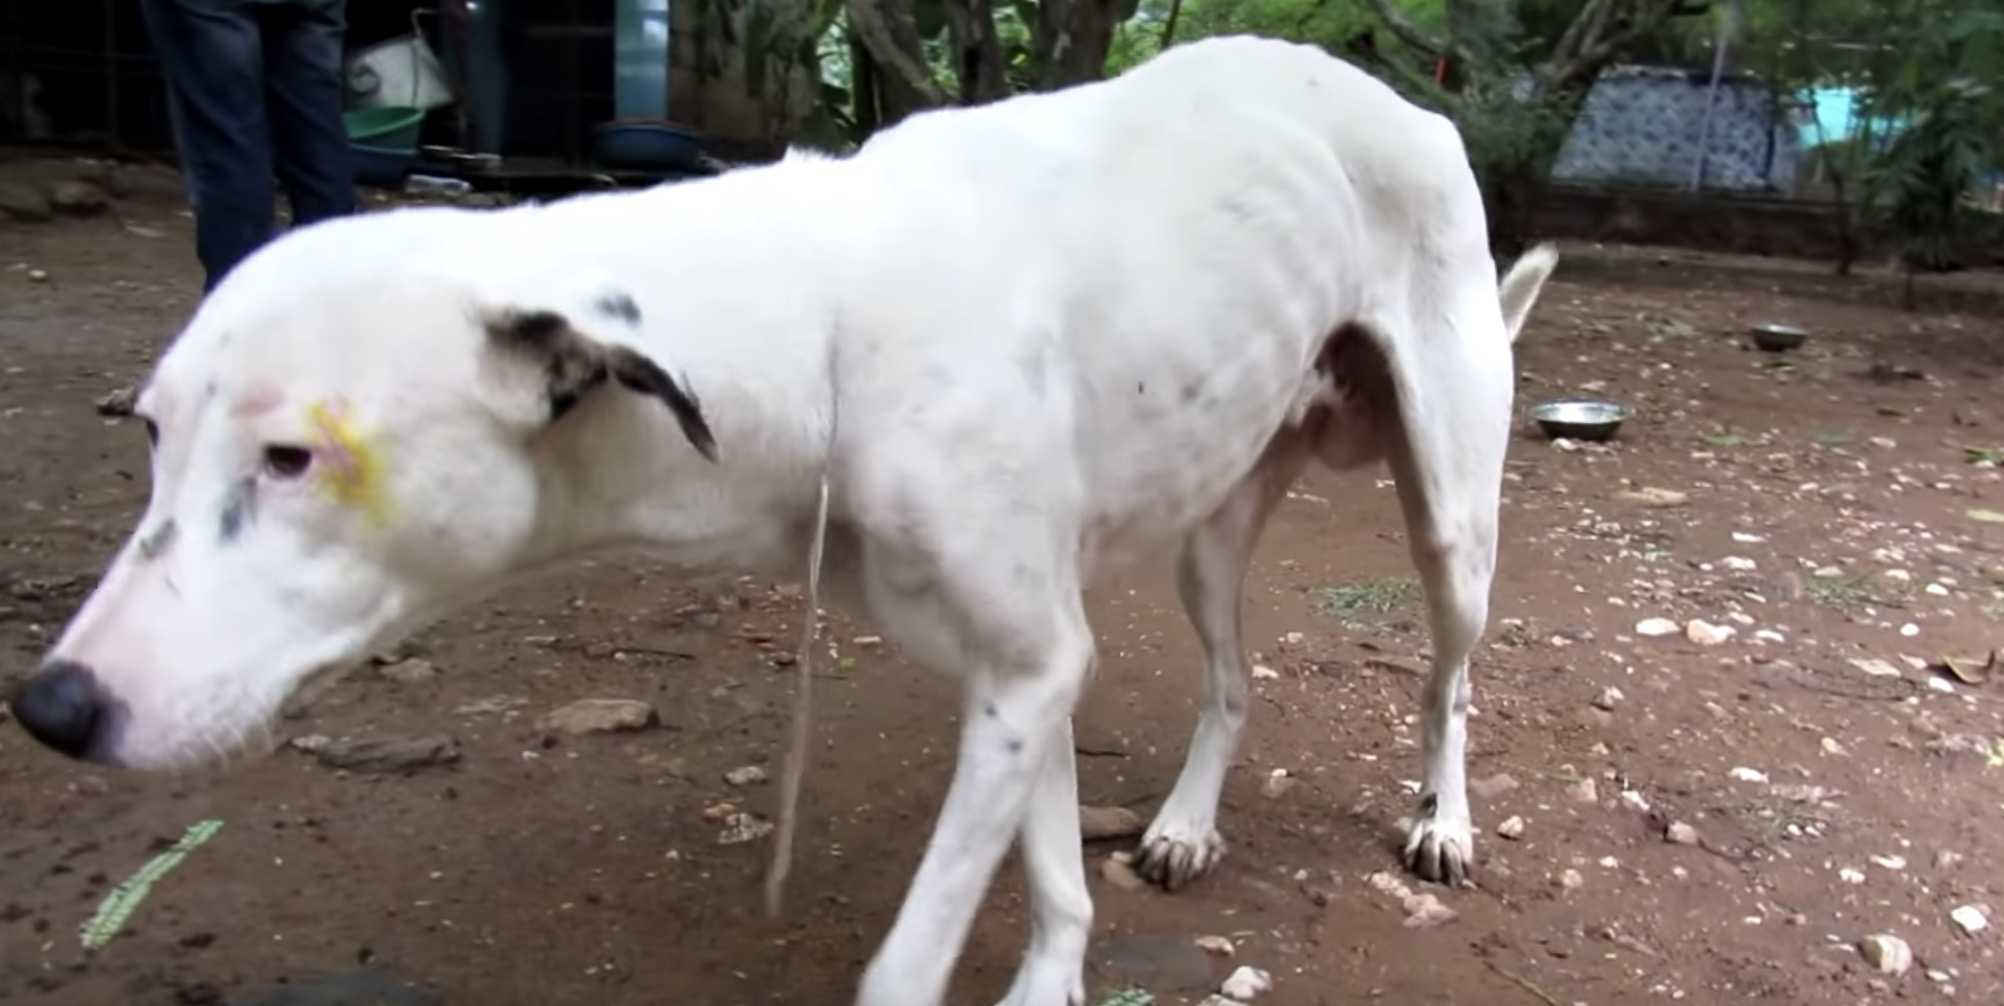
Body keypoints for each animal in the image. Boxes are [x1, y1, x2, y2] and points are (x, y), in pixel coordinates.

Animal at [7, 35, 1555, 1005]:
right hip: (1210, 535)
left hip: (1452, 527)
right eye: (149, 435)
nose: (51, 706)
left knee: (1452, 681)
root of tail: (1409, 104)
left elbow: (906, 962)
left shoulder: (1028, 663)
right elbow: (1057, 870)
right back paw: (1180, 823)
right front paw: (1059, 968)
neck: (824, 311)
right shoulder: (1028, 663)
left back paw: (1446, 821)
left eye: (291, 459)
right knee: (1233, 678)